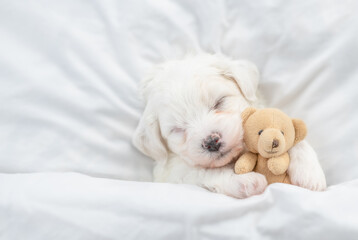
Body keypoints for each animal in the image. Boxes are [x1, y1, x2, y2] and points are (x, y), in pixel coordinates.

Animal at [132, 53, 328, 198]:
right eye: (177, 129)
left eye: (219, 102)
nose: (211, 142)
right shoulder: (174, 173)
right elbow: (206, 172)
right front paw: (246, 182)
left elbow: (292, 136)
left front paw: (310, 174)